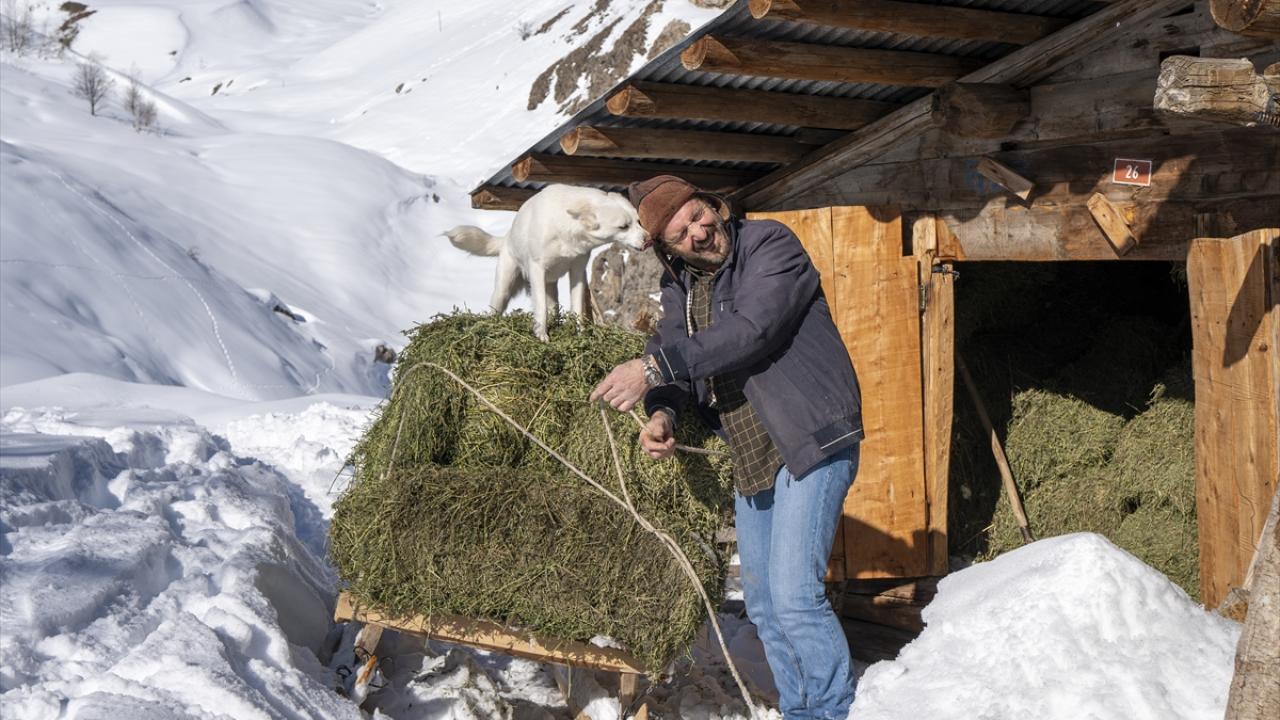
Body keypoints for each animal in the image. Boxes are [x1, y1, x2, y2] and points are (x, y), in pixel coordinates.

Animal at [448, 181, 650, 338]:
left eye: (639, 221)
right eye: (623, 226)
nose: (648, 239)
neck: (568, 227)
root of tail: (506, 238)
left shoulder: (577, 271)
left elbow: (577, 309)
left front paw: (581, 336)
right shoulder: (537, 269)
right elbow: (541, 308)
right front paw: (542, 336)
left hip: (551, 286)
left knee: (554, 308)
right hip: (504, 287)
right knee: (496, 308)